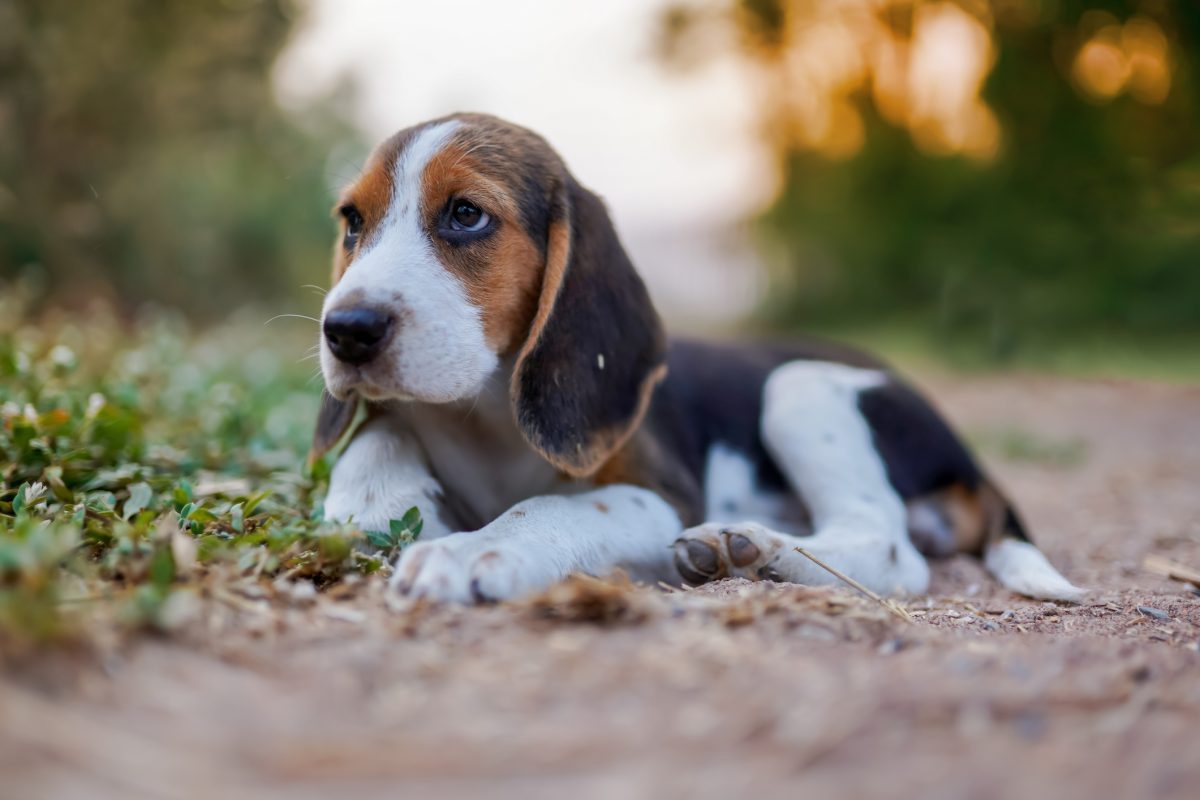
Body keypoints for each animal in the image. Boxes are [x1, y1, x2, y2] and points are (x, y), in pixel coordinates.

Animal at [314, 109, 1084, 604]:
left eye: (466, 215)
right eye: (352, 221)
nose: (346, 330)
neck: (484, 417)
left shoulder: (663, 494)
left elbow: (549, 509)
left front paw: (474, 551)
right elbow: (378, 432)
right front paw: (380, 495)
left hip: (799, 387)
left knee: (889, 546)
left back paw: (754, 548)